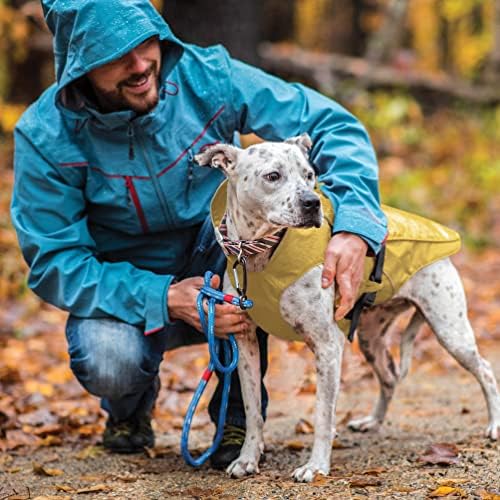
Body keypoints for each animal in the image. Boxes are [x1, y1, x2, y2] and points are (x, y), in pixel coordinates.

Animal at [195, 135, 500, 482]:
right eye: (273, 176)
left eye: (309, 175)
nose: (311, 202)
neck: (261, 252)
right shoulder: (245, 345)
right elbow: (252, 409)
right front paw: (248, 458)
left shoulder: (327, 347)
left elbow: (323, 414)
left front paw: (316, 466)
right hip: (371, 338)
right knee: (389, 377)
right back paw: (372, 422)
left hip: (451, 330)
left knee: (485, 370)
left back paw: (493, 425)